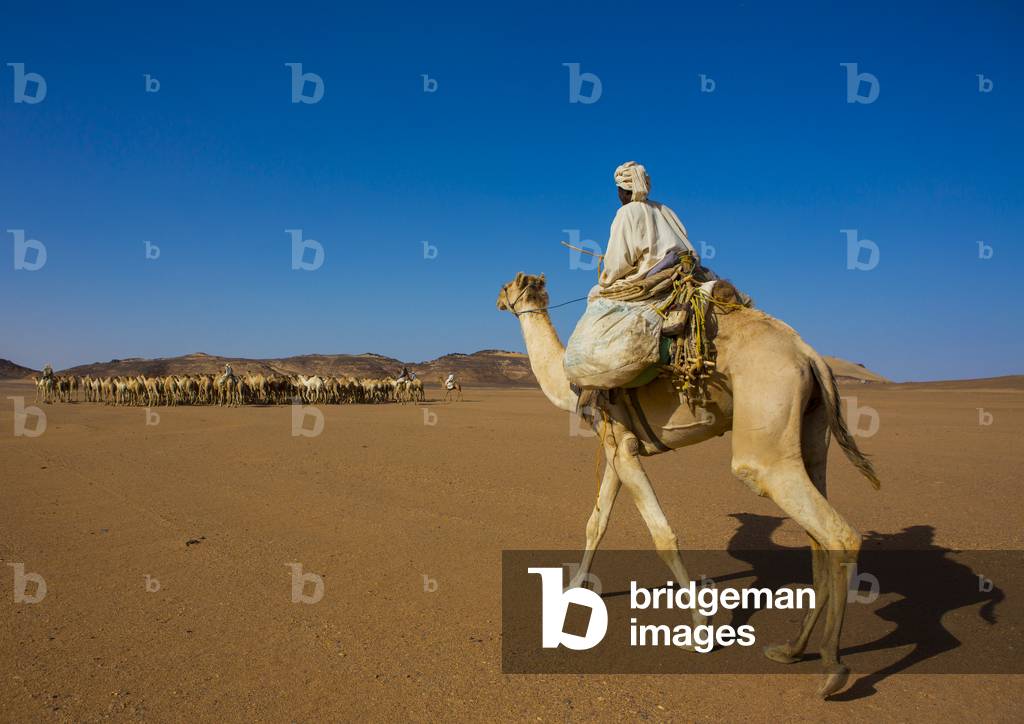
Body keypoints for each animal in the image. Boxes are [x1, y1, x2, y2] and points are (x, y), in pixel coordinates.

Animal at [497, 272, 879, 699]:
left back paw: (832, 666)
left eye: (508, 287)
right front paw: (575, 589)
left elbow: (662, 535)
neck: (570, 387)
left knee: (836, 532)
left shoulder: (621, 448)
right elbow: (596, 523)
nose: (500, 299)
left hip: (766, 439)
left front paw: (699, 629)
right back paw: (791, 650)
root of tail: (810, 355)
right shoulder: (617, 446)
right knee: (818, 535)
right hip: (813, 436)